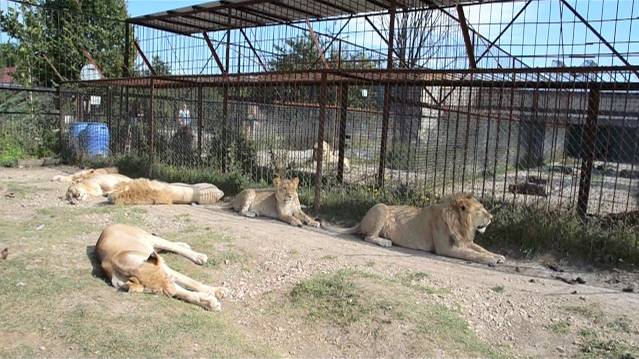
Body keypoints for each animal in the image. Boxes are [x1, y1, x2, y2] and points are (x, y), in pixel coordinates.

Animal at [96, 225, 229, 312]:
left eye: (168, 276)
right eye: (157, 292)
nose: (171, 293)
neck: (128, 269)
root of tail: (108, 227)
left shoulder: (169, 271)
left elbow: (193, 282)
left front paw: (218, 291)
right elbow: (186, 294)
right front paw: (210, 303)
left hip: (149, 238)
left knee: (170, 245)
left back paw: (198, 256)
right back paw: (184, 245)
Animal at [324, 194, 504, 268]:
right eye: (481, 210)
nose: (492, 217)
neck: (462, 224)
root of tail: (361, 221)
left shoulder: (464, 241)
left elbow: (480, 249)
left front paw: (498, 256)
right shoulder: (446, 248)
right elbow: (472, 254)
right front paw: (490, 260)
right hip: (381, 207)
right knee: (368, 237)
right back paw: (385, 241)